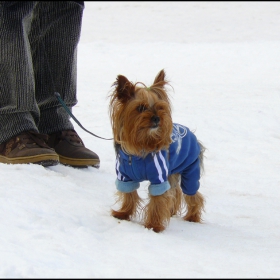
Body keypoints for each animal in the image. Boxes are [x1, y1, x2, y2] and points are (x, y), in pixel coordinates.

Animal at [108, 68, 205, 232]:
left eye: (160, 107)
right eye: (140, 108)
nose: (157, 118)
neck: (140, 148)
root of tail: (192, 135)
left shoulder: (159, 176)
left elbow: (157, 201)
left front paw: (153, 226)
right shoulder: (124, 176)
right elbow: (129, 195)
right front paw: (123, 213)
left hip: (190, 170)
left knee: (192, 194)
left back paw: (192, 217)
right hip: (172, 171)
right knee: (175, 192)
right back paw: (171, 211)